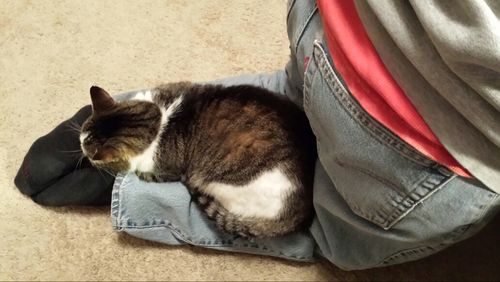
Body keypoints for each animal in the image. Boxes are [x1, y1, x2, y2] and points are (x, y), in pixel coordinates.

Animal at [82, 82, 316, 237]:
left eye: (88, 152)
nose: (85, 154)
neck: (157, 119)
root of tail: (298, 215)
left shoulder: (164, 170)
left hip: (218, 183)